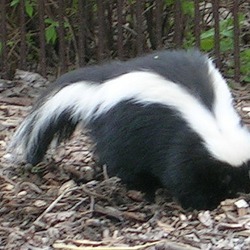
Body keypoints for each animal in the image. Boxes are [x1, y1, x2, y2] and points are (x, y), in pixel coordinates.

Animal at [7, 50, 250, 211]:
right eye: (225, 177)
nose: (241, 192)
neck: (216, 124)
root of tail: (101, 87)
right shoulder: (182, 146)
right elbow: (181, 178)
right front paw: (202, 203)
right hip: (122, 131)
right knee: (121, 163)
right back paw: (143, 189)